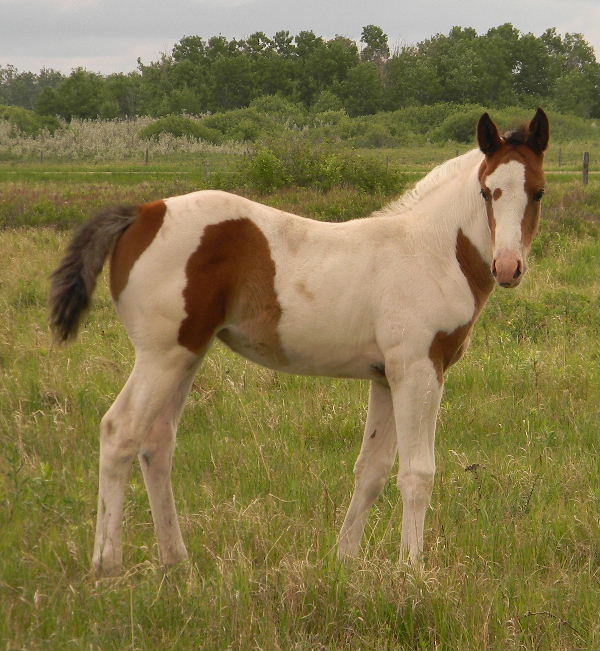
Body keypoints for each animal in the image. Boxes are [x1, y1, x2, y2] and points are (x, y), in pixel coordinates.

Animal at [49, 109, 549, 576]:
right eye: (486, 191)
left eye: (538, 191)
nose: (508, 267)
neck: (432, 249)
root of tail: (142, 213)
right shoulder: (419, 370)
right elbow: (417, 472)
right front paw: (412, 568)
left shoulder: (385, 377)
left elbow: (371, 470)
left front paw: (344, 561)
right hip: (161, 356)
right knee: (120, 431)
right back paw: (106, 565)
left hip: (186, 357)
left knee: (157, 442)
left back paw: (176, 561)